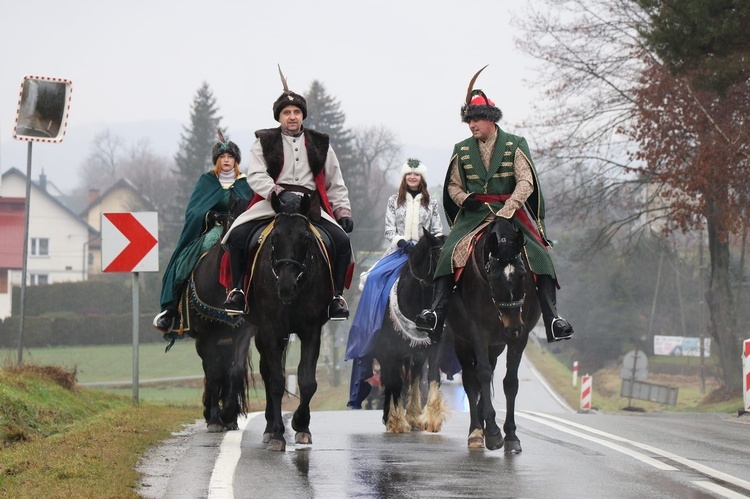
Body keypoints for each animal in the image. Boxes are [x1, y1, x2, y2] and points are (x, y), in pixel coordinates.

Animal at [186, 197, 254, 432]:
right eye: (233, 221)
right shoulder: (207, 336)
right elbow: (214, 373)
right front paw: (216, 418)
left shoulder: (243, 334)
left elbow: (235, 371)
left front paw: (229, 415)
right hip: (202, 342)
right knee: (210, 369)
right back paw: (210, 412)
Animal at [247, 192, 332, 454]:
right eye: (275, 237)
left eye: (305, 238)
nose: (285, 287)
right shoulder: (270, 329)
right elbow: (275, 381)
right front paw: (277, 433)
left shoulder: (311, 330)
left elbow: (307, 381)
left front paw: (301, 424)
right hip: (261, 333)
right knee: (267, 371)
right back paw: (269, 428)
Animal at [446, 217, 540, 456]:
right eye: (493, 276)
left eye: (523, 274)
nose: (512, 326)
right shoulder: (477, 332)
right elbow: (483, 374)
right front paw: (492, 431)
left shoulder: (519, 338)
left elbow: (510, 382)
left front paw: (511, 435)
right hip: (462, 341)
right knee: (472, 379)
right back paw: (477, 430)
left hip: (496, 346)